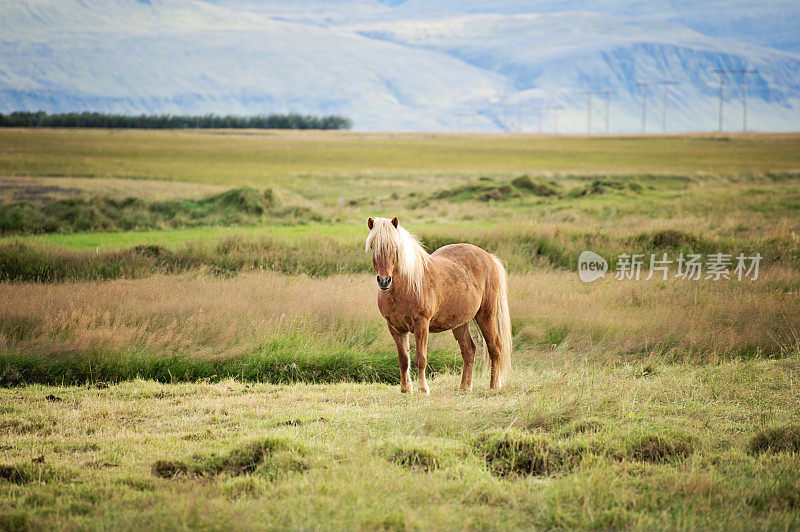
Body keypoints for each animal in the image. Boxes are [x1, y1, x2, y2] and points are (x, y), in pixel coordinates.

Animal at [364, 216, 512, 394]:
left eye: (394, 246)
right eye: (372, 246)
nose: (384, 281)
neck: (407, 285)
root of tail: (489, 257)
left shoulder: (421, 324)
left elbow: (420, 359)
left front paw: (423, 389)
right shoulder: (395, 327)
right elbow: (403, 359)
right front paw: (405, 389)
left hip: (486, 315)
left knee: (495, 347)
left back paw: (494, 386)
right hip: (460, 322)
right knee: (468, 350)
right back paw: (464, 387)